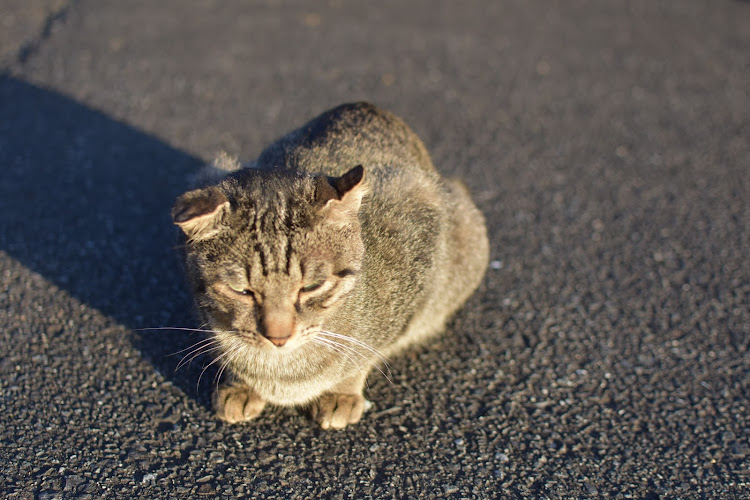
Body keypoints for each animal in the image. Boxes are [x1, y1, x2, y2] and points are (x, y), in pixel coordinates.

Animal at [173, 102, 490, 430]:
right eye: (240, 290)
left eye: (312, 286)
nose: (278, 337)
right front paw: (241, 384)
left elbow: (364, 354)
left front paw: (342, 392)